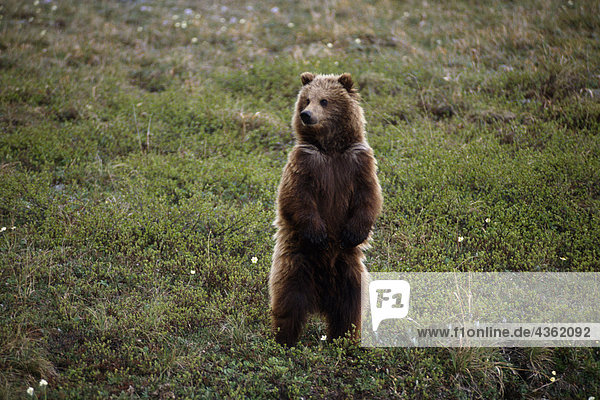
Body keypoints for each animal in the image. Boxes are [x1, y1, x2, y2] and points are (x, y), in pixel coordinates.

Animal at [270, 72, 382, 346]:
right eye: (306, 99)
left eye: (324, 100)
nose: (306, 115)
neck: (330, 149)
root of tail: (320, 299)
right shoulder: (304, 163)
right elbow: (296, 197)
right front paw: (318, 234)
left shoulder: (358, 163)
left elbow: (369, 197)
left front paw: (354, 232)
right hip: (296, 263)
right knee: (288, 302)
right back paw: (283, 340)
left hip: (349, 270)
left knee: (350, 309)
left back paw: (345, 340)